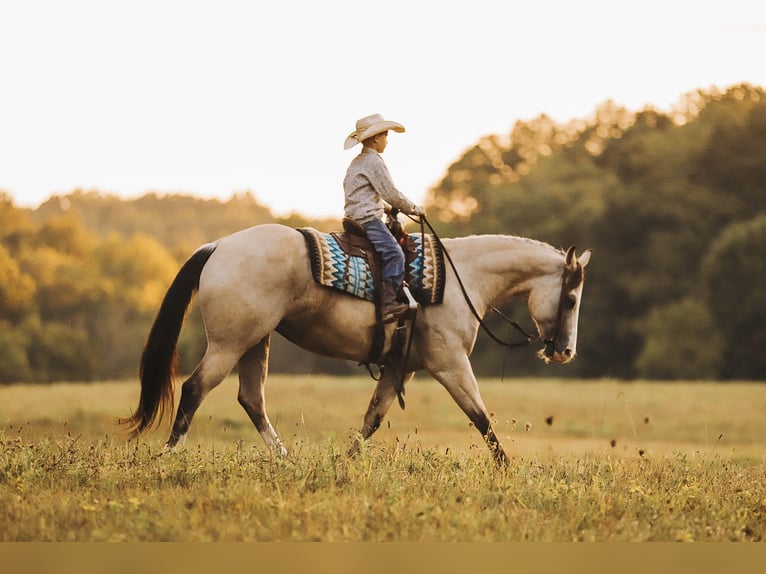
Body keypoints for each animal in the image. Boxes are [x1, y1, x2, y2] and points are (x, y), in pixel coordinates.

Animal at [124, 220, 592, 468]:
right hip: (230, 344)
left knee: (251, 400)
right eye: (570, 299)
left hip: (256, 343)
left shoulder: (399, 369)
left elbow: (371, 420)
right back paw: (169, 455)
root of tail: (218, 244)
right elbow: (481, 419)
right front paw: (507, 469)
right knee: (194, 389)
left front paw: (345, 464)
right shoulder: (450, 364)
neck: (463, 279)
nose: (565, 352)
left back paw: (285, 459)